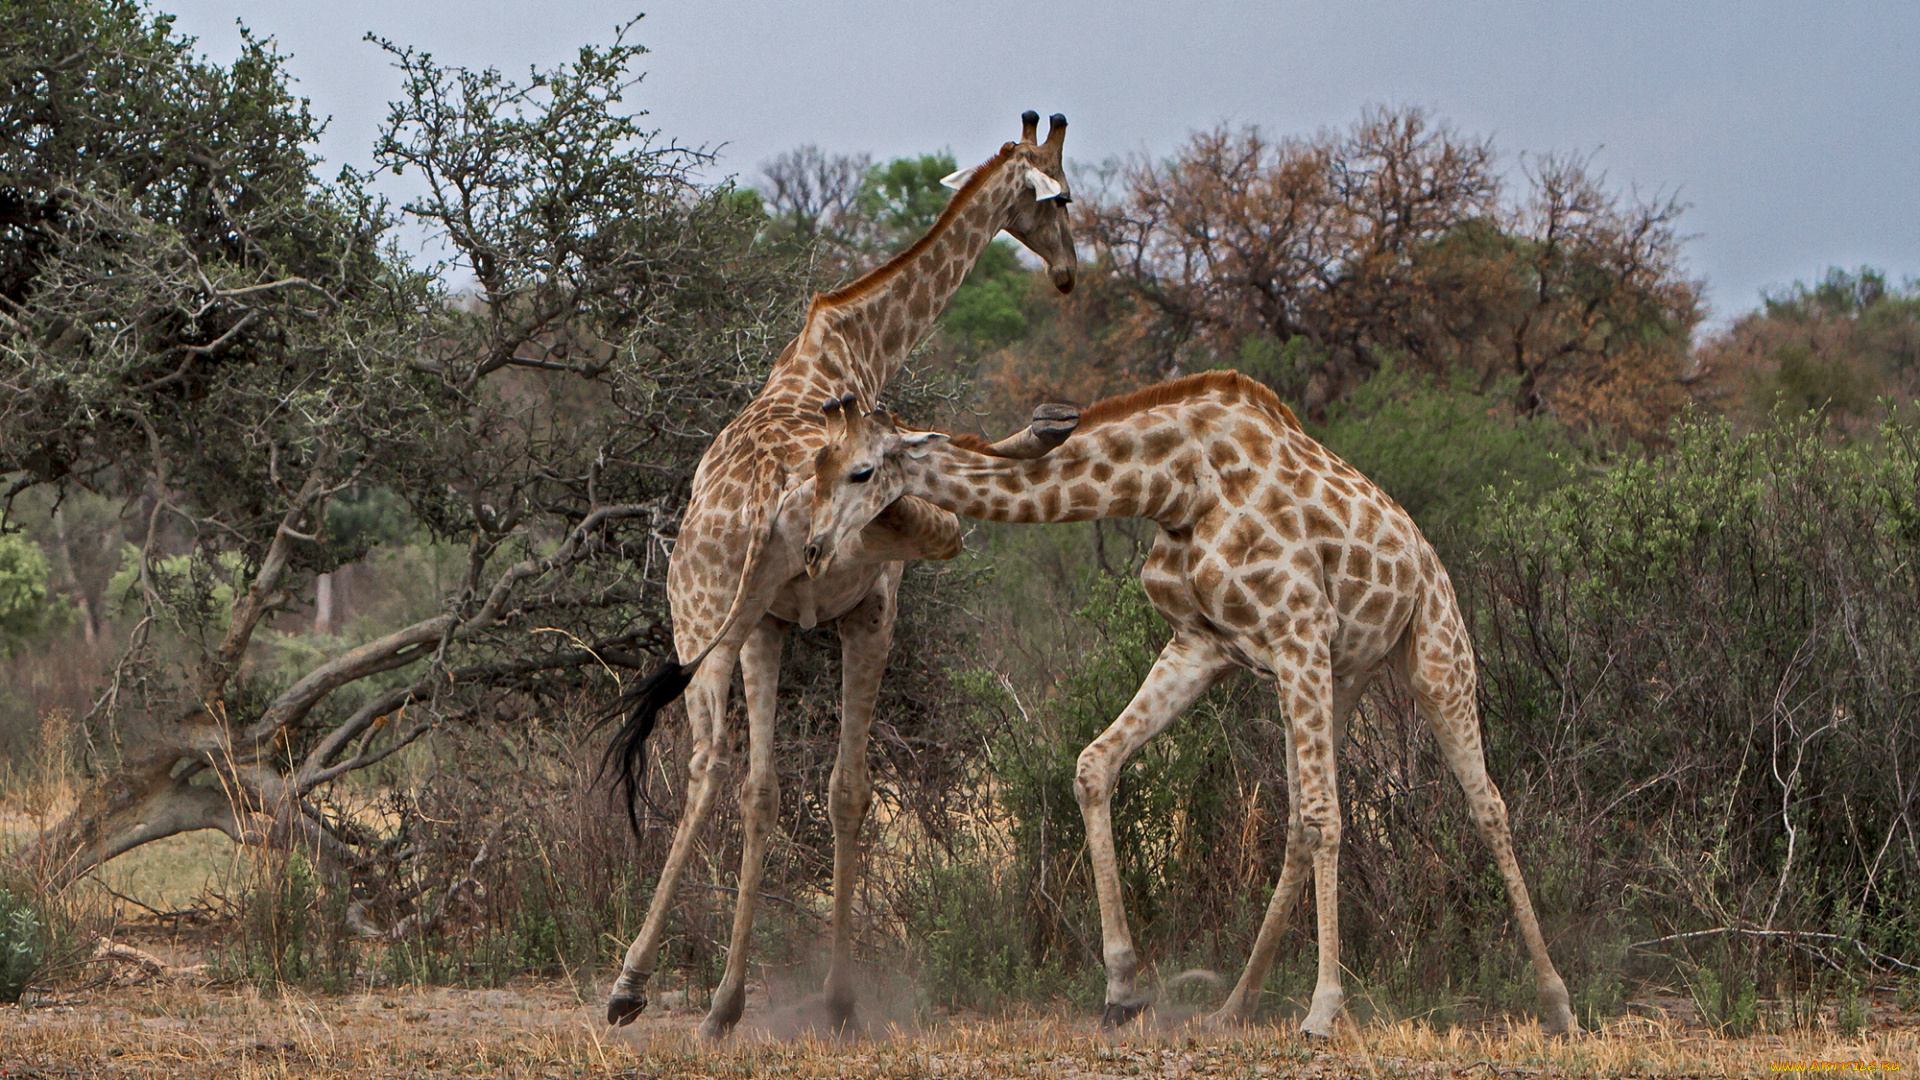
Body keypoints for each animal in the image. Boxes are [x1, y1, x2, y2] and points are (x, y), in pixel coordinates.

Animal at [599, 109, 1082, 1037]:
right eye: (1062, 196)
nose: (1072, 273)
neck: (851, 344)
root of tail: (770, 498)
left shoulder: (781, 622)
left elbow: (795, 791)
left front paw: (762, 997)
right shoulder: (871, 607)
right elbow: (849, 791)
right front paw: (839, 997)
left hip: (722, 630)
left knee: (734, 777)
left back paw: (697, 998)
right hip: (762, 611)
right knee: (717, 765)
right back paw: (637, 981)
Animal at [802, 368, 1582, 1037]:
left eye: (861, 471)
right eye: (814, 465)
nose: (811, 548)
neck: (1172, 482)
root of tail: (1425, 551)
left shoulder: (1297, 631)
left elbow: (1330, 816)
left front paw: (1324, 1010)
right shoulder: (1200, 645)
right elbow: (1095, 764)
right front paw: (1121, 990)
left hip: (1434, 654)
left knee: (1484, 806)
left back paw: (1557, 1004)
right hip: (1342, 677)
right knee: (1296, 823)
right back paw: (1233, 1006)